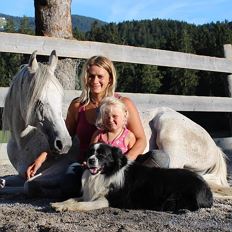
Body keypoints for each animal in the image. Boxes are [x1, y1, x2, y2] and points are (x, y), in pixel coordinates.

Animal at [0, 50, 78, 198]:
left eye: (60, 98)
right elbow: (4, 180)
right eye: (38, 100)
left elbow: (29, 185)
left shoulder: (64, 165)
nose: (65, 144)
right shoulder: (21, 174)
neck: (25, 141)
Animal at [51, 143, 214, 212]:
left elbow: (82, 205)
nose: (90, 160)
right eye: (90, 152)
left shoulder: (109, 199)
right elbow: (72, 199)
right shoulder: (90, 194)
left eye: (102, 155)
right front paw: (60, 204)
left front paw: (67, 207)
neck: (107, 173)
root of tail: (207, 189)